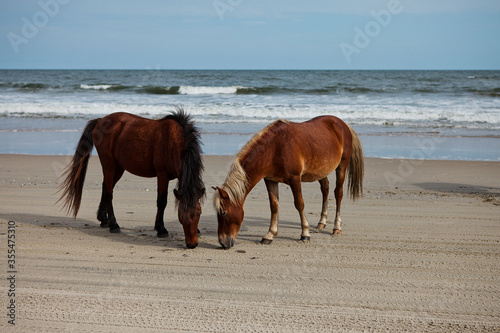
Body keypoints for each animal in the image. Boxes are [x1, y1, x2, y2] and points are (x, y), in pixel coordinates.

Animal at [58, 107, 205, 248]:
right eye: (181, 215)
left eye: (199, 213)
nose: (192, 244)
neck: (174, 141)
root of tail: (101, 120)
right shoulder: (162, 175)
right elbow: (162, 202)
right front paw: (161, 229)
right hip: (108, 164)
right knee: (109, 192)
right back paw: (114, 225)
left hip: (118, 167)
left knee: (106, 187)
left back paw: (104, 219)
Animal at [212, 115, 364, 248]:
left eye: (223, 212)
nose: (223, 243)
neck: (274, 149)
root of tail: (342, 124)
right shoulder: (270, 180)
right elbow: (274, 206)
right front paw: (270, 235)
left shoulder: (295, 179)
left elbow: (299, 204)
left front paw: (305, 234)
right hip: (321, 171)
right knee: (325, 189)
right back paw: (322, 222)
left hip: (342, 166)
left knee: (338, 193)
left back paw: (336, 227)